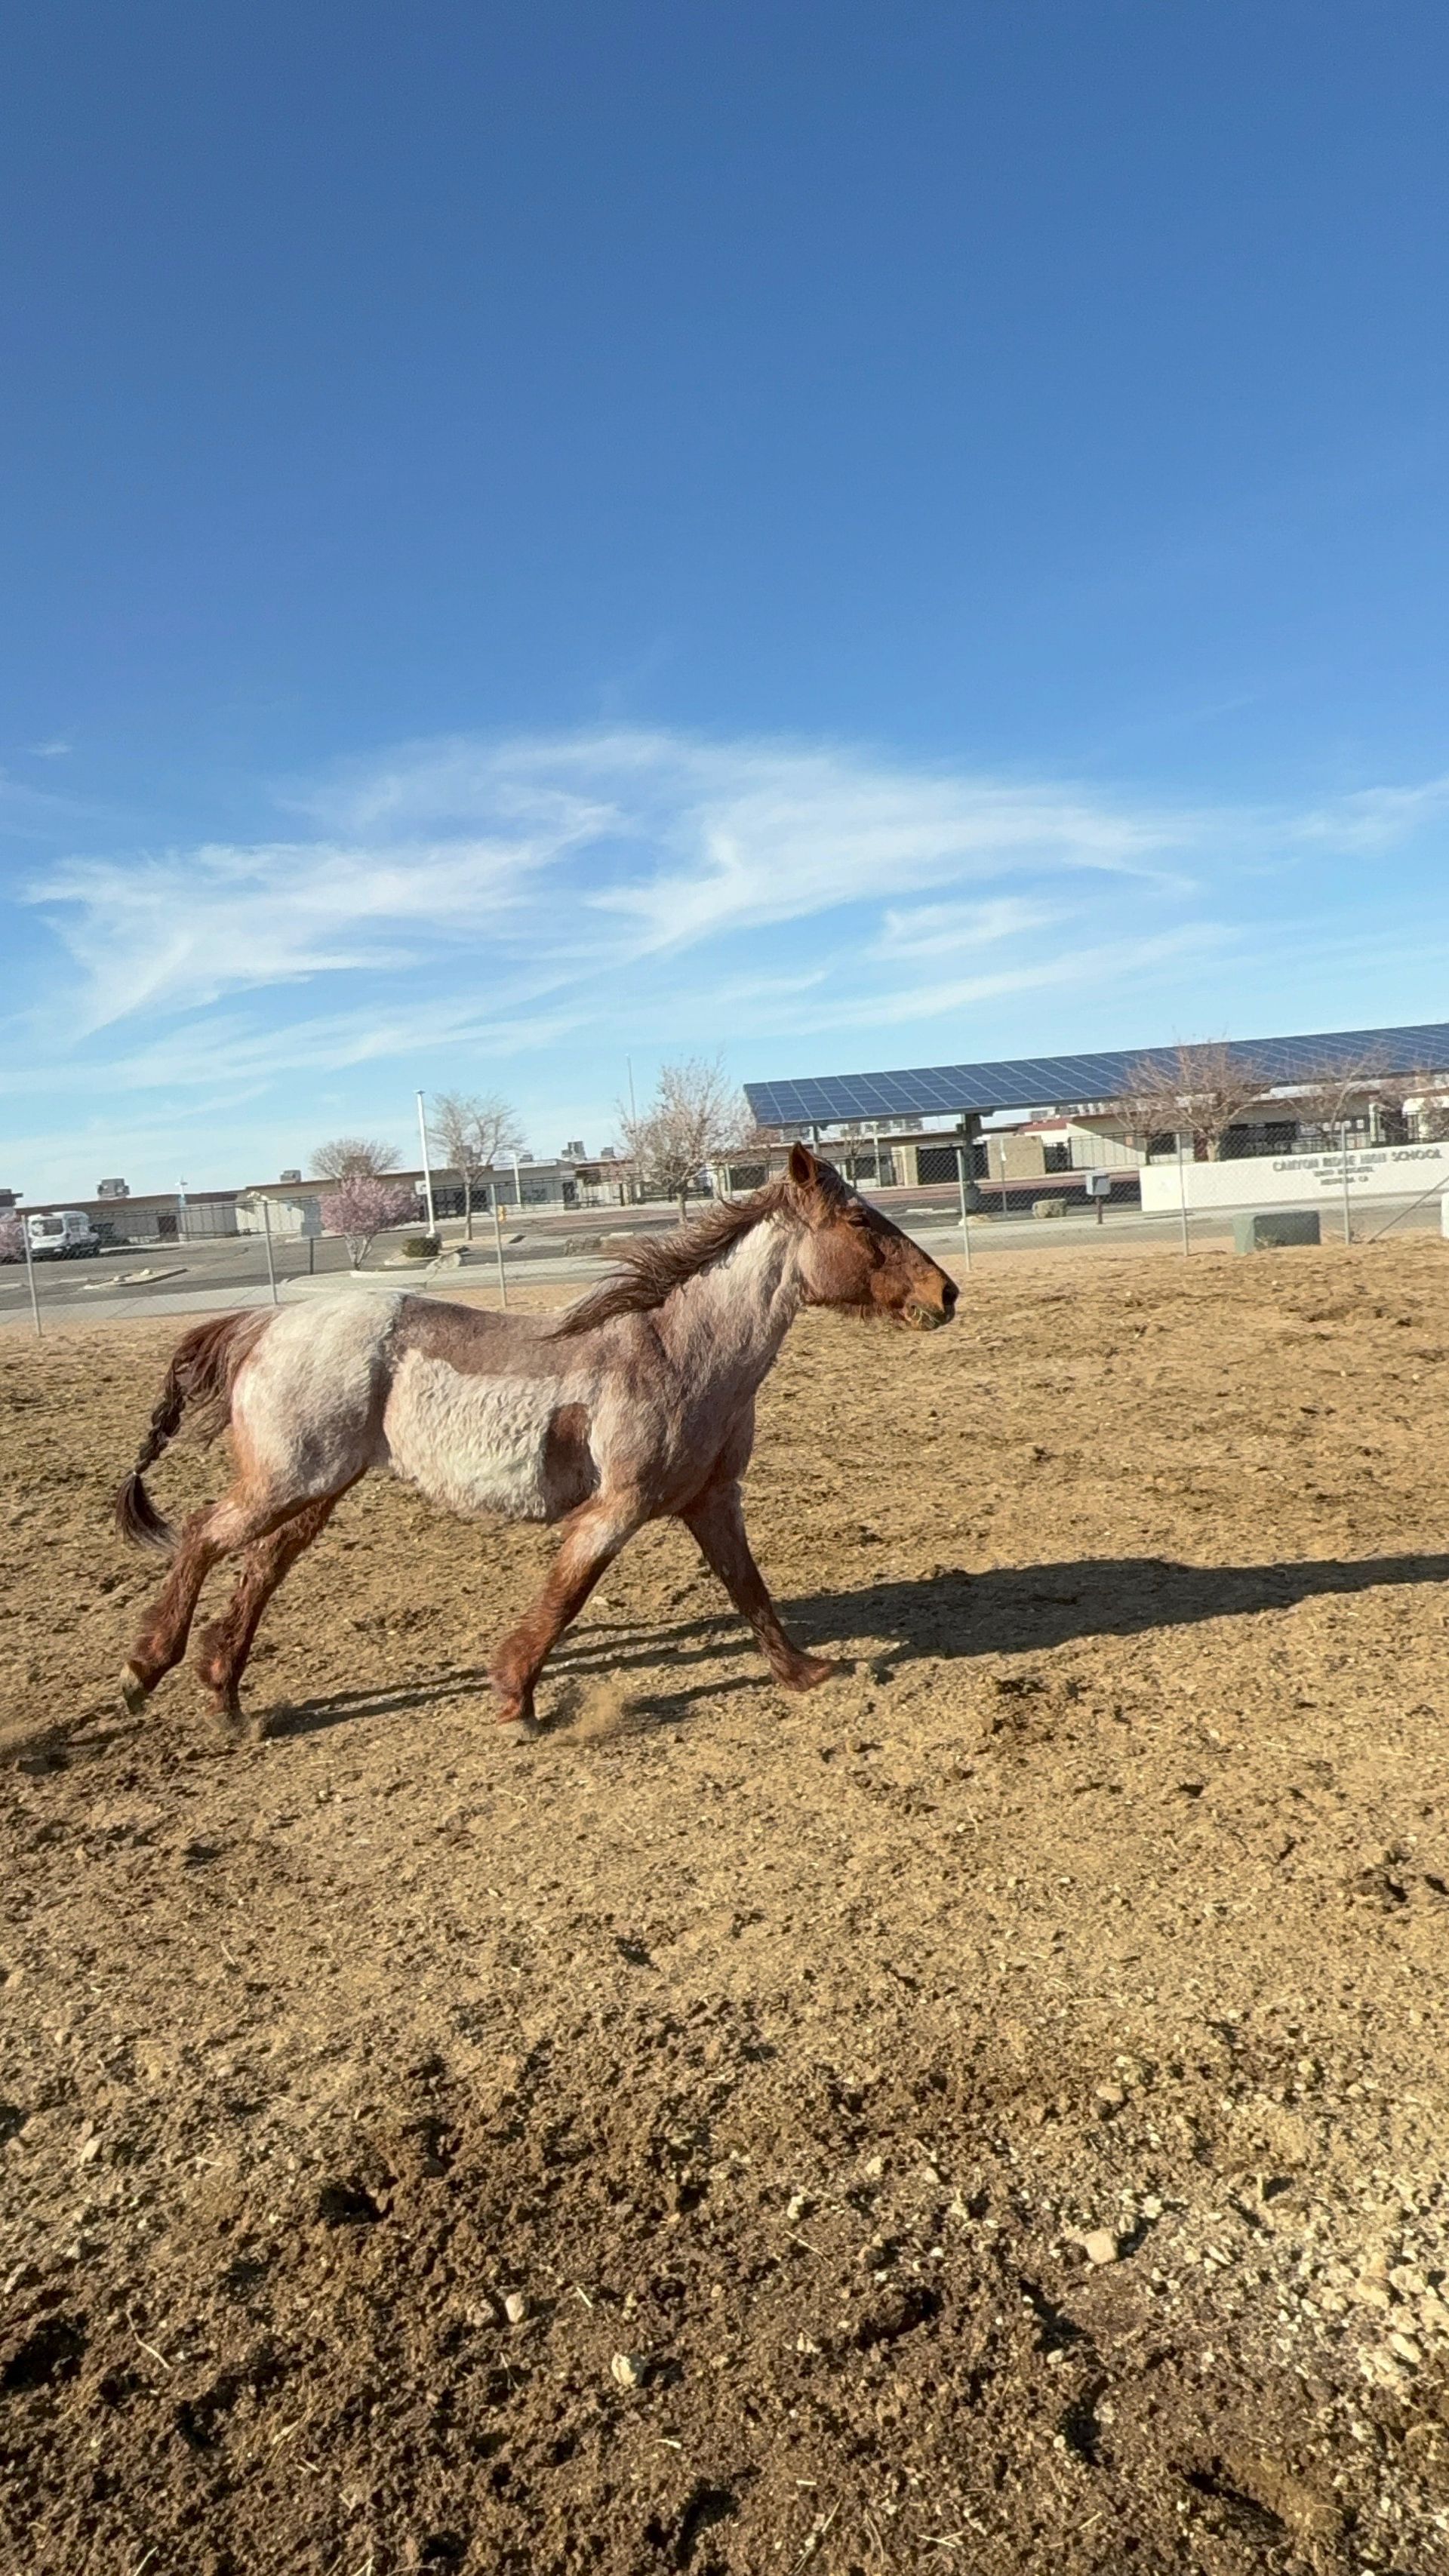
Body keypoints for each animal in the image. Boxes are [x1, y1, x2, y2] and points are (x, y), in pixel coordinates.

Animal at [114, 1144, 957, 1740]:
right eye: (859, 1221)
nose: (945, 1292)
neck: (679, 1351)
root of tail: (264, 1321)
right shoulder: (615, 1508)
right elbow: (565, 1597)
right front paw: (517, 1699)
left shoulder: (712, 1500)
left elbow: (750, 1590)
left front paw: (807, 1673)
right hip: (287, 1480)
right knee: (203, 1536)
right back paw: (143, 1671)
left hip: (316, 1489)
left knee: (259, 1566)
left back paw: (225, 1696)